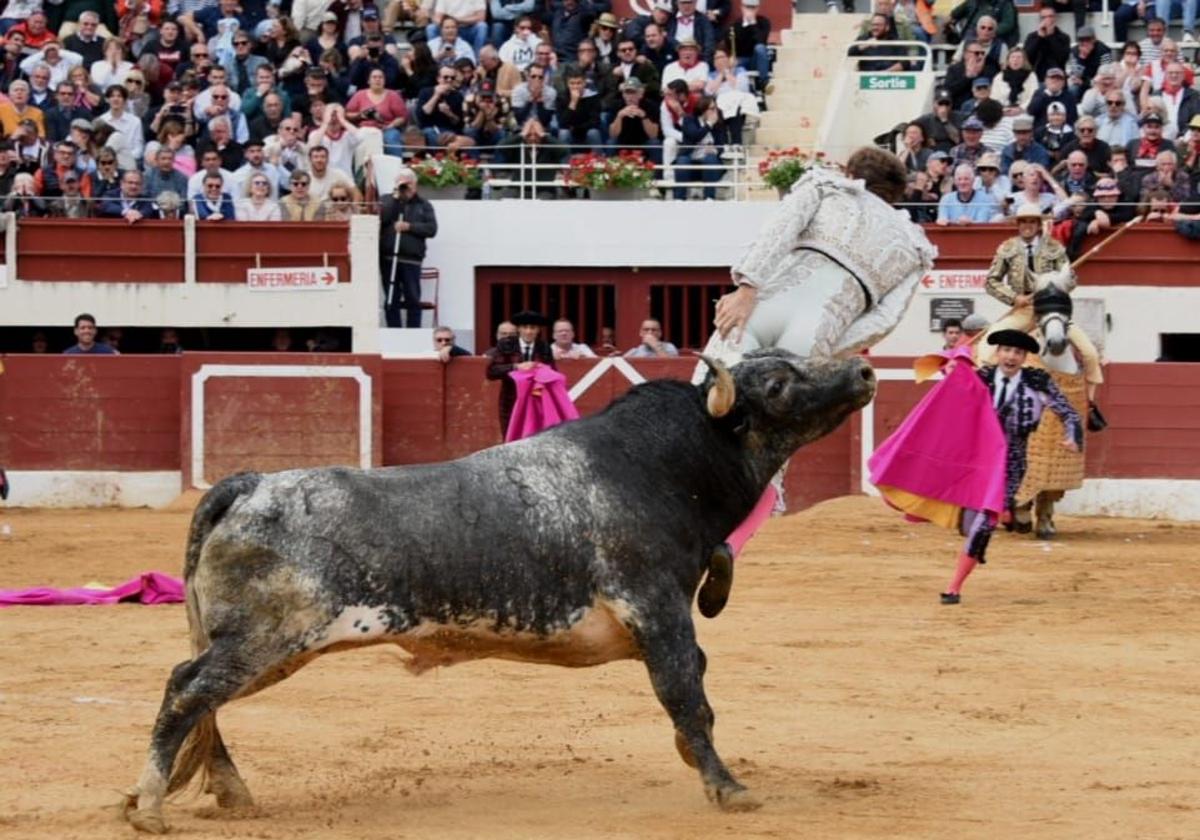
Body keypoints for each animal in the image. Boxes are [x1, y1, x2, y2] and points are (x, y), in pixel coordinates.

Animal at [119, 350, 873, 835]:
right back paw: (152, 806)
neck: (666, 466)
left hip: (267, 647)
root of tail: (250, 483)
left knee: (199, 695)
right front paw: (727, 788)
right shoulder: (657, 610)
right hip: (266, 639)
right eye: (777, 382)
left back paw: (224, 793)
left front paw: (700, 763)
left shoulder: (660, 621)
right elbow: (686, 693)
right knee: (187, 692)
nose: (864, 371)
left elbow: (700, 685)